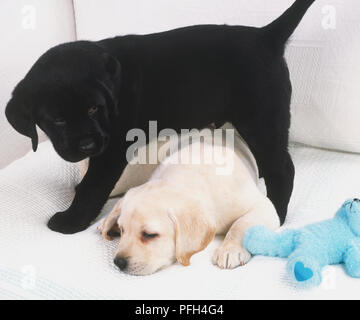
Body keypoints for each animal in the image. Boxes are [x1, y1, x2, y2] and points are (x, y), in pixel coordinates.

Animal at [4, 1, 316, 234]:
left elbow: (92, 186)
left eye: (94, 109)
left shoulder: (111, 149)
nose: (88, 145)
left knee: (283, 169)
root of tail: (266, 35)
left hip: (262, 118)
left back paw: (276, 213)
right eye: (57, 120)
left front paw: (71, 221)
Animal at [96, 127, 278, 276]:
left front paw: (230, 249)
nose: (118, 262)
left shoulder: (263, 206)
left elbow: (240, 225)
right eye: (122, 230)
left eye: (149, 235)